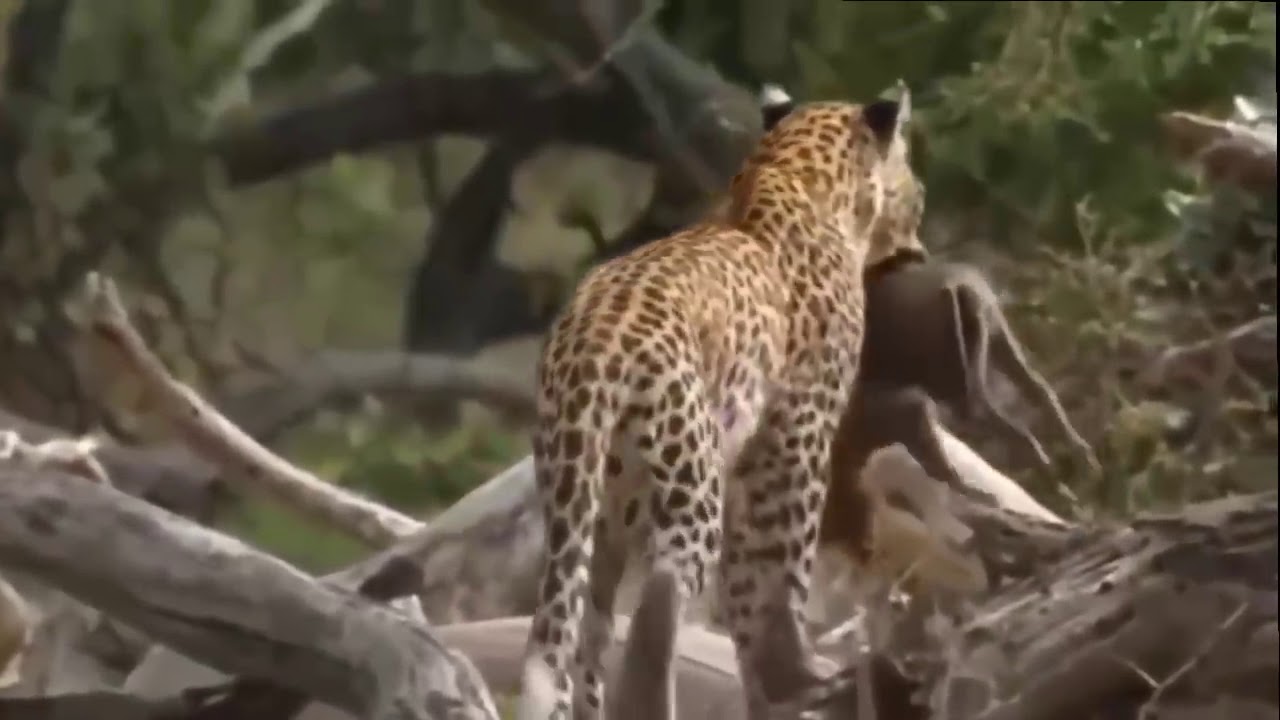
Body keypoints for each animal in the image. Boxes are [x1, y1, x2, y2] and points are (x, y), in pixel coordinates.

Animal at [516, 84, 928, 720]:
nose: (922, 223)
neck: (791, 166)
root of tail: (591, 341)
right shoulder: (797, 436)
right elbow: (785, 566)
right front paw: (797, 670)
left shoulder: (746, 463)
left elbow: (745, 587)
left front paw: (768, 679)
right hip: (686, 473)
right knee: (659, 599)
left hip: (586, 498)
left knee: (578, 622)